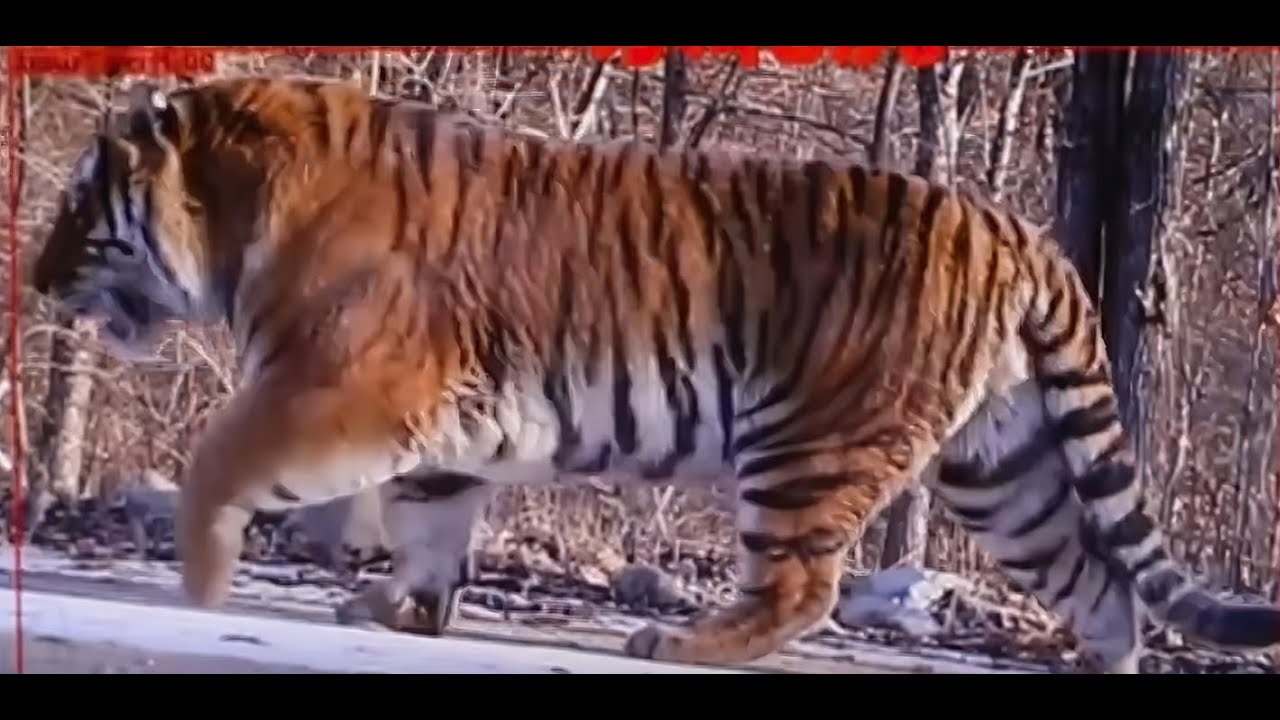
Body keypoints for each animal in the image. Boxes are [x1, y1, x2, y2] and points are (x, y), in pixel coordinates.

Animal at [30, 75, 1279, 673]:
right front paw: (400, 605)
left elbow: (219, 460)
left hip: (808, 438)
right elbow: (429, 520)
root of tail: (1020, 232)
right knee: (1098, 580)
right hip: (1002, 470)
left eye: (80, 209)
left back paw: (678, 644)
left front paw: (204, 581)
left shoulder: (344, 385)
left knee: (801, 584)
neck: (235, 206)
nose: (36, 282)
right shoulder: (440, 423)